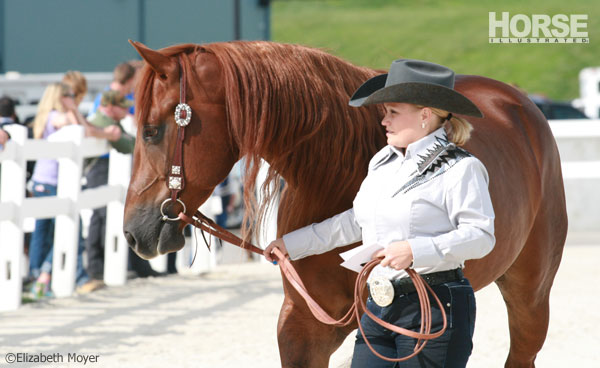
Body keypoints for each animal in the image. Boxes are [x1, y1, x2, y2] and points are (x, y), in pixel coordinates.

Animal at [123, 41, 568, 368]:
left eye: (151, 130)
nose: (132, 232)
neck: (332, 177)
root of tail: (520, 105)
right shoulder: (304, 323)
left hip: (531, 298)